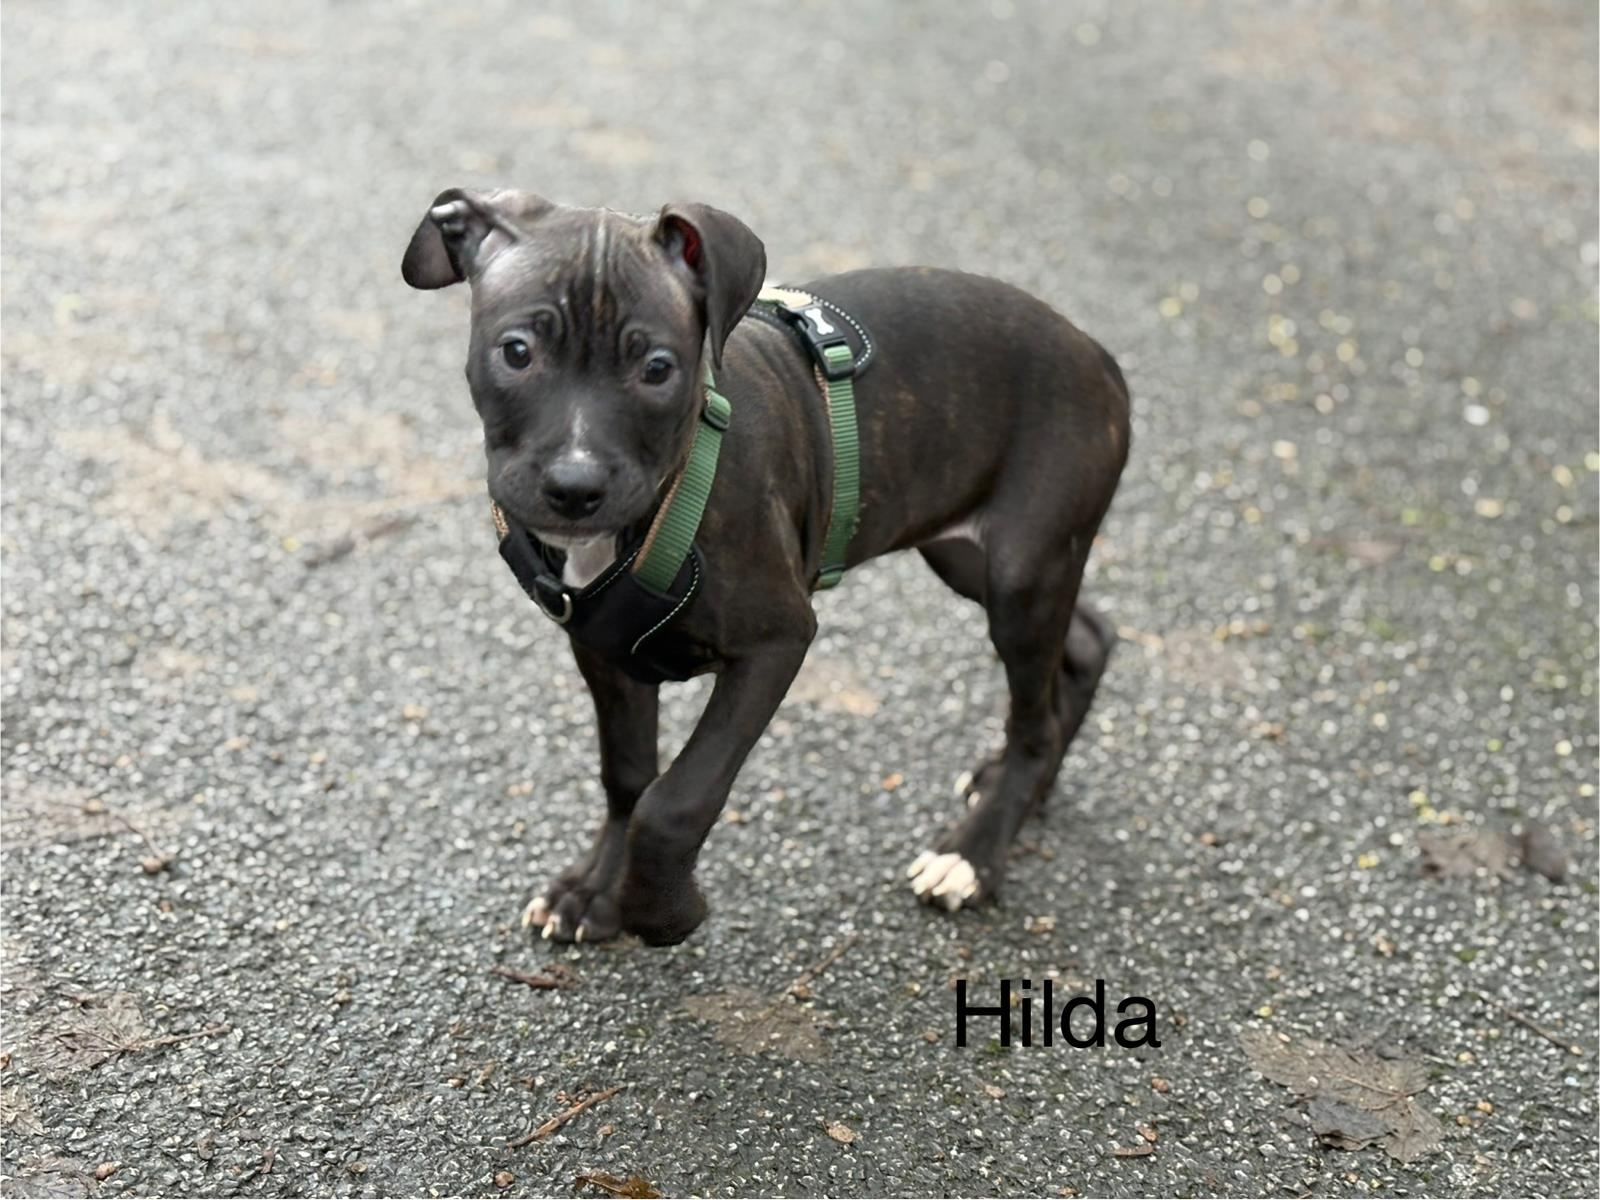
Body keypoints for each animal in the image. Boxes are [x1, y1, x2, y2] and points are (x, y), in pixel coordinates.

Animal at [402, 190, 1129, 946]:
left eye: (657, 368)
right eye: (516, 352)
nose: (575, 489)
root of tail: (1096, 353)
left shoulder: (775, 643)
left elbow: (676, 798)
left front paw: (664, 912)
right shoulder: (601, 651)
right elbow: (628, 777)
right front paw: (593, 890)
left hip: (1020, 572)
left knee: (1034, 722)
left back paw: (975, 854)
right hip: (969, 553)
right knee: (1084, 642)